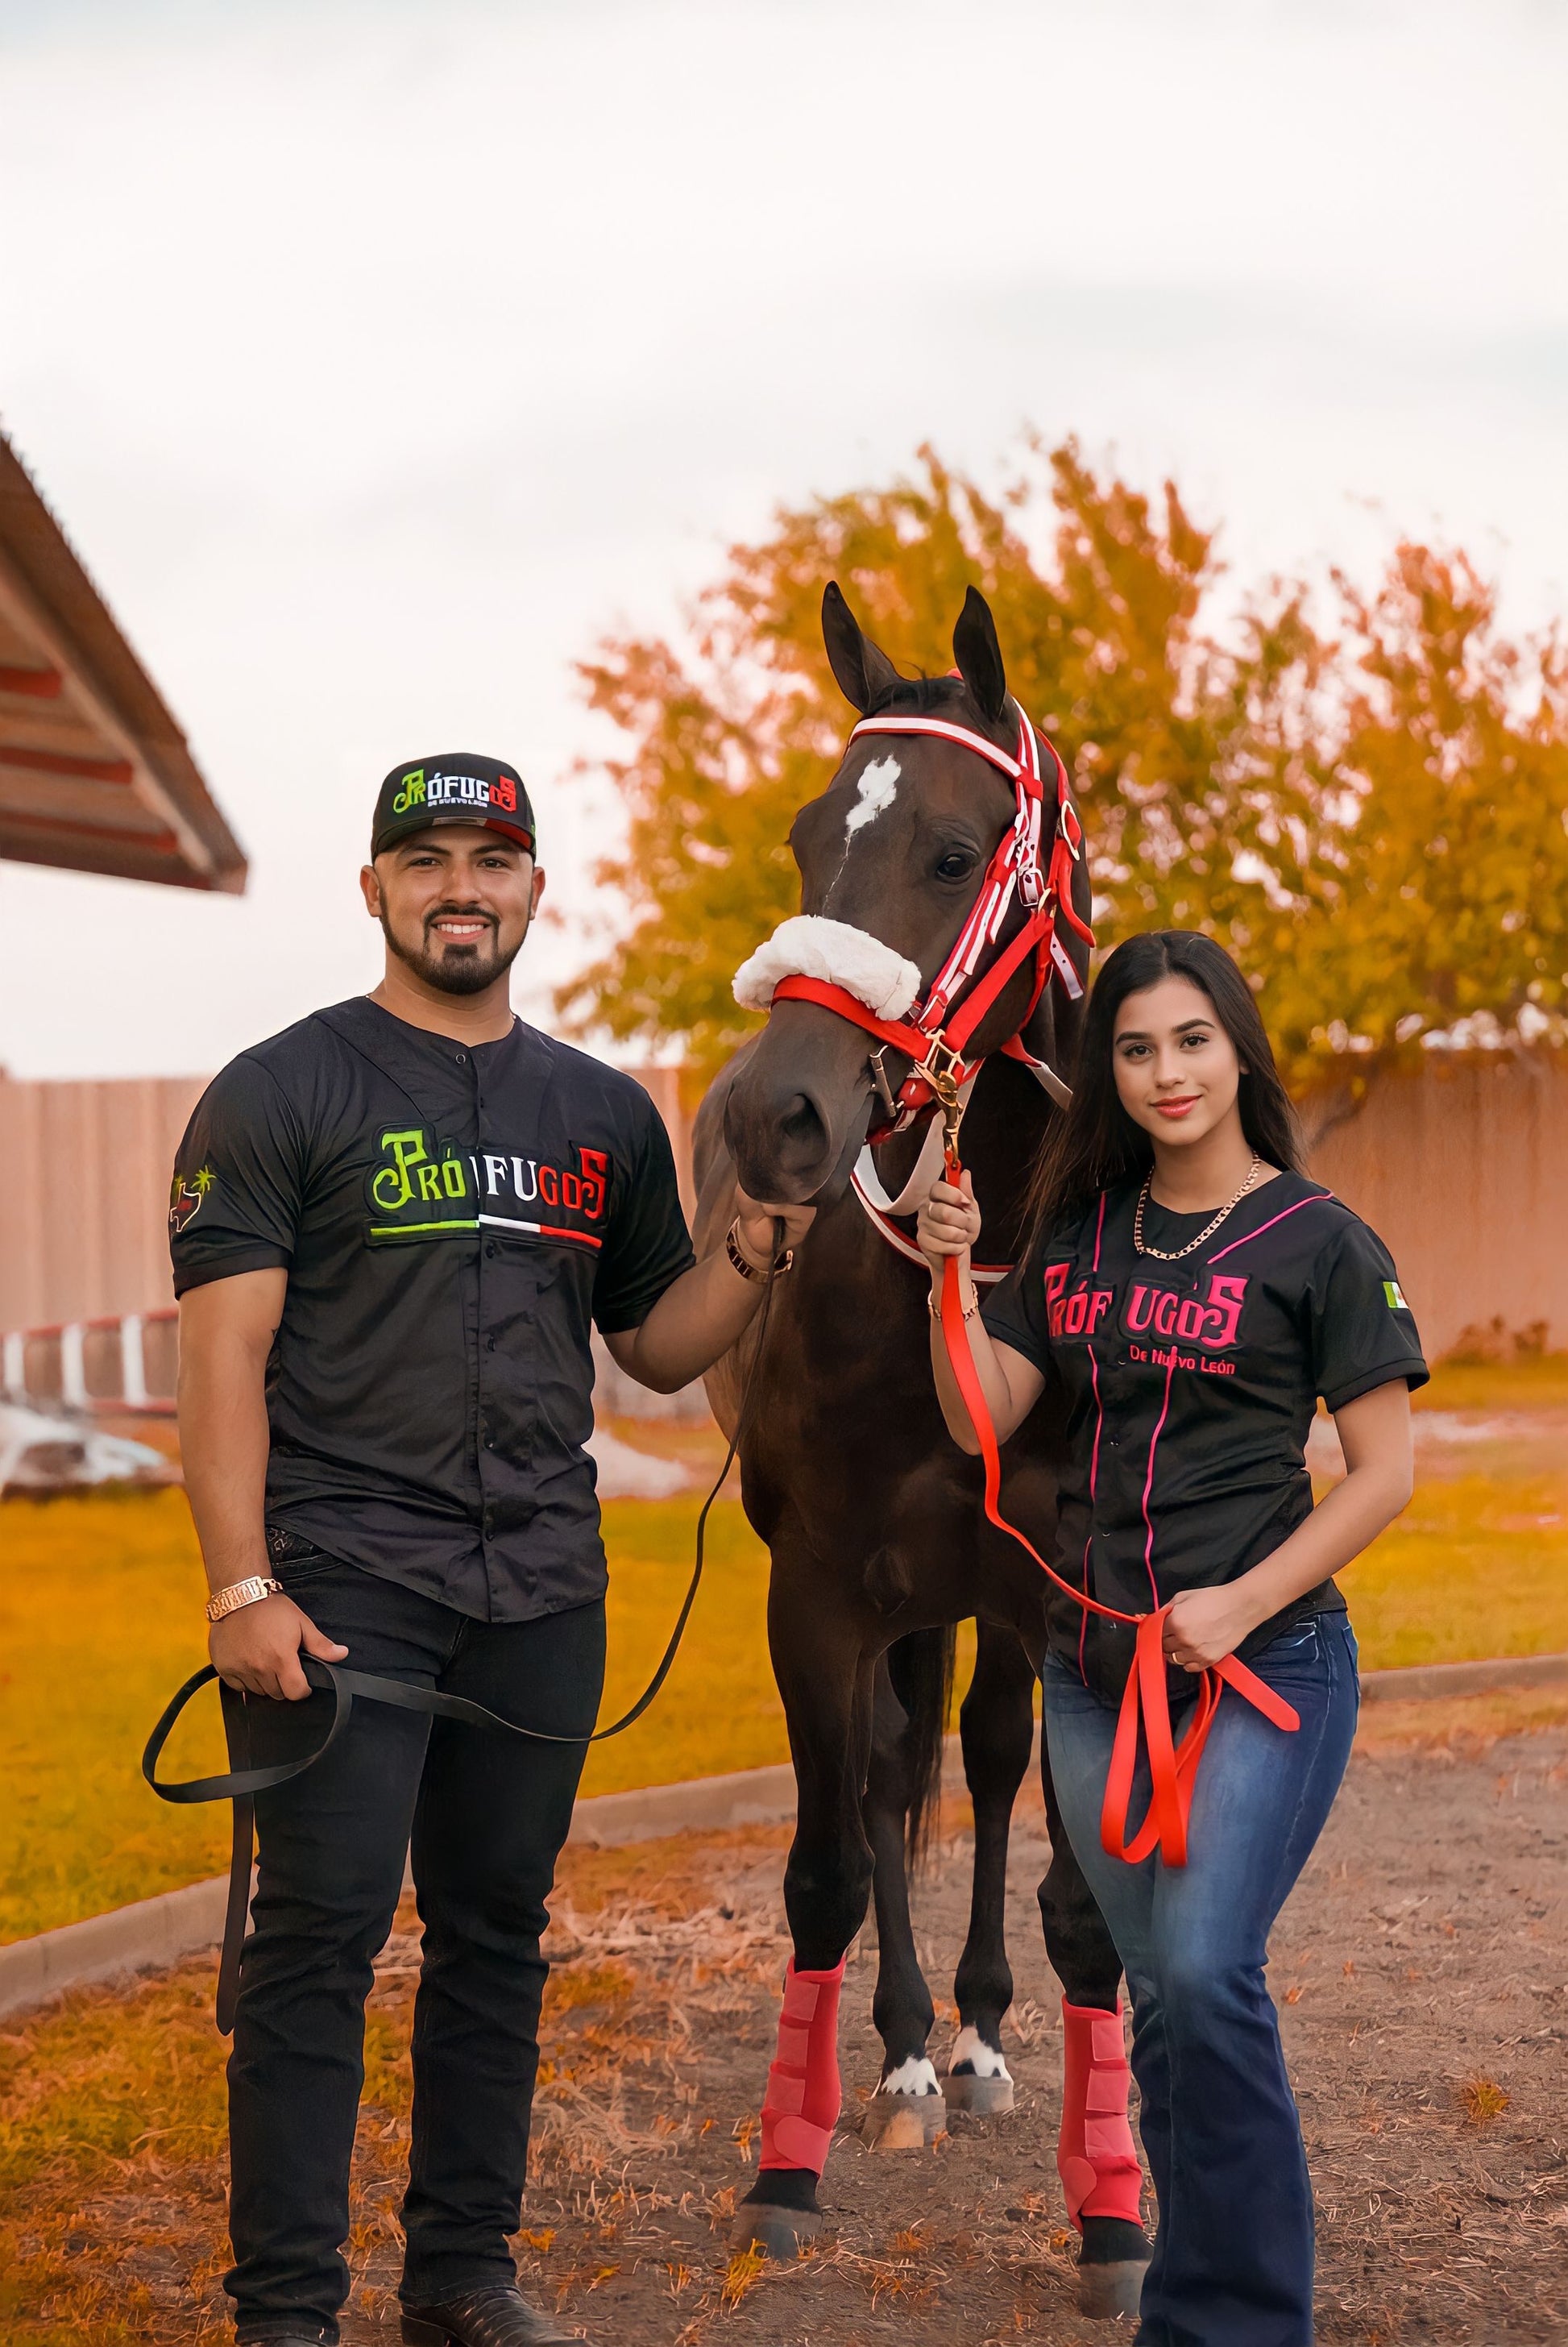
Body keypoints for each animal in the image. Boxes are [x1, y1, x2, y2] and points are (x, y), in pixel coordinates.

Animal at [695, 582, 1150, 2309]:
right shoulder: (817, 1596)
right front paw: (788, 2169)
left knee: (991, 1758)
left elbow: (1083, 1900)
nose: (775, 1118)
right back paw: (896, 2054)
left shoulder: (1077, 1603)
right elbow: (828, 1864)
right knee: (896, 1776)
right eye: (809, 832)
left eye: (955, 852)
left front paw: (1112, 2214)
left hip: (992, 1611)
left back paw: (977, 2036)